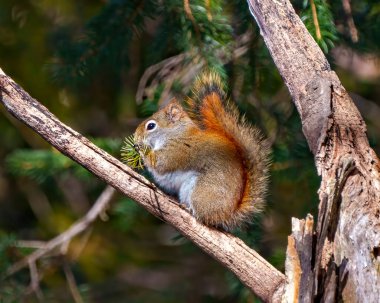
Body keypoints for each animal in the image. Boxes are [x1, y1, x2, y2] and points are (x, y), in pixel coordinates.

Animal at [134, 73, 270, 230]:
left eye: (151, 126)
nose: (135, 137)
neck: (175, 133)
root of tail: (228, 214)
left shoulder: (177, 150)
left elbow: (159, 163)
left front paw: (140, 149)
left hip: (201, 192)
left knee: (204, 217)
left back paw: (189, 210)